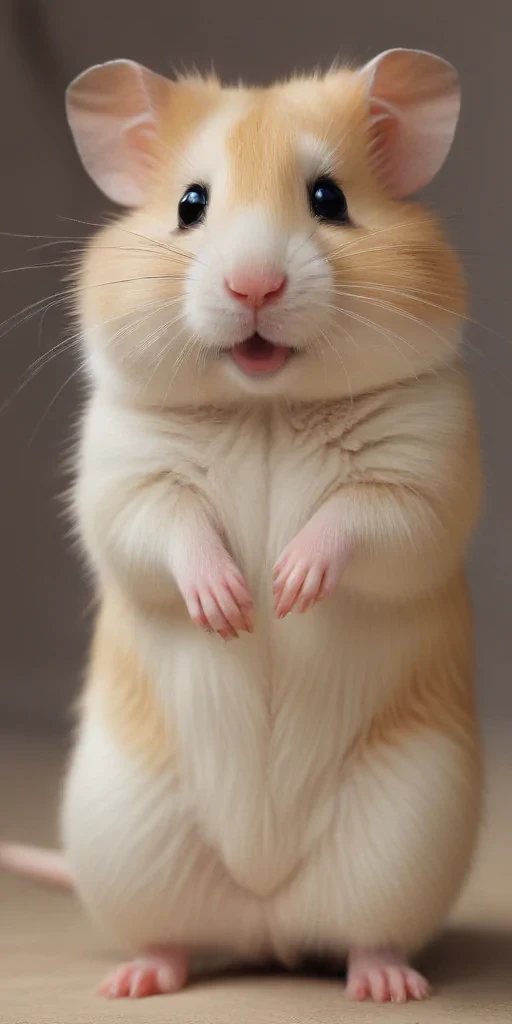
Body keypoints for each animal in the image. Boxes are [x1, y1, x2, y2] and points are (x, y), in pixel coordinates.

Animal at [2, 49, 483, 1004]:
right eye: (191, 203)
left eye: (329, 198)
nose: (253, 286)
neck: (265, 403)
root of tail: (267, 921)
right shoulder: (126, 475)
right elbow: (168, 530)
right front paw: (231, 607)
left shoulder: (424, 474)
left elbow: (360, 522)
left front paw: (289, 587)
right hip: (128, 835)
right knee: (176, 937)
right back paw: (138, 979)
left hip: (405, 832)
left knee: (365, 934)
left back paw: (385, 984)